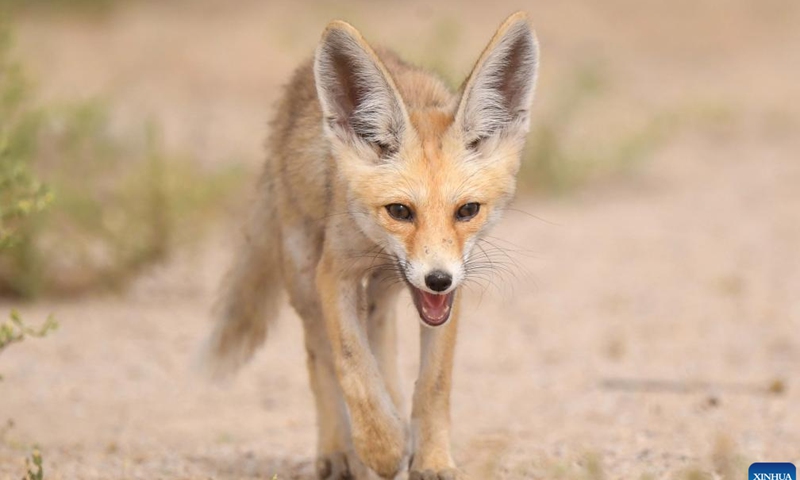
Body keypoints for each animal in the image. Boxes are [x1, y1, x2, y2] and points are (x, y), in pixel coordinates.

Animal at [203, 11, 540, 480]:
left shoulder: (448, 293)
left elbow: (434, 382)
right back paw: (338, 451)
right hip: (303, 277)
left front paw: (431, 458)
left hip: (383, 291)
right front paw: (383, 448)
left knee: (382, 342)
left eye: (467, 210)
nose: (438, 279)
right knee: (319, 357)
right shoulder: (334, 274)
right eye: (399, 211)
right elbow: (352, 368)